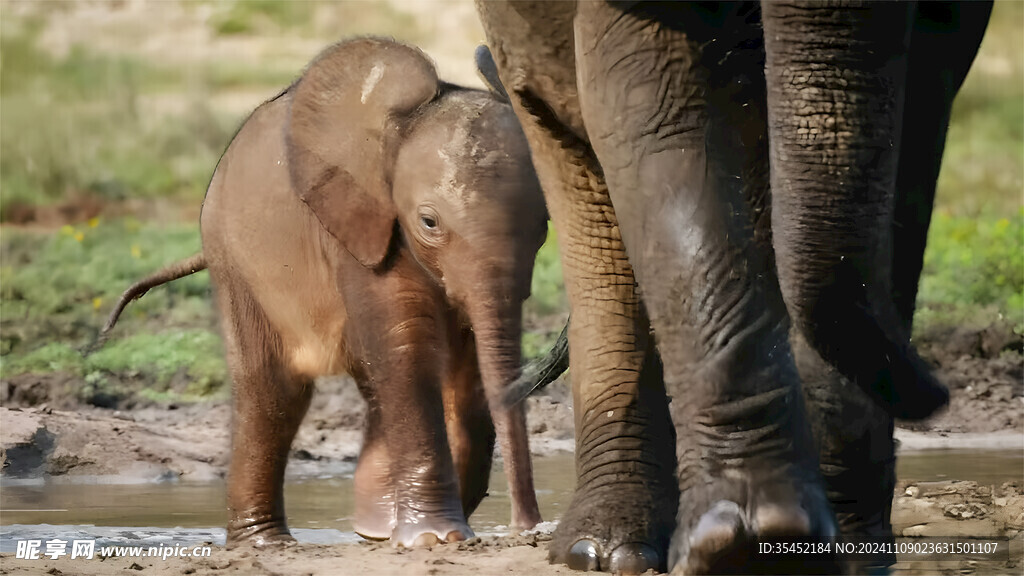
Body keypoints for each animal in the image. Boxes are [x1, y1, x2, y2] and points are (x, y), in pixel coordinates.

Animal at [103, 39, 548, 541]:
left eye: (544, 226)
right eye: (429, 222)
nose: (528, 527)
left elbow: (462, 370)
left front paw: (426, 535)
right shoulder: (355, 223)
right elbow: (405, 347)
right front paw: (437, 538)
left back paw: (374, 530)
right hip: (233, 256)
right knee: (272, 392)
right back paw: (268, 543)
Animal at [475, 2, 987, 569]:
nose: (937, 391)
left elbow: (914, 120)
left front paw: (828, 548)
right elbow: (656, 116)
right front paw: (749, 546)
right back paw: (605, 550)